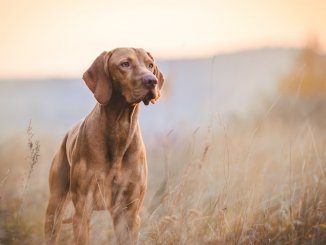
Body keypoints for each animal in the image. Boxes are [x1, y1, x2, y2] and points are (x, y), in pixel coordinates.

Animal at [44, 48, 164, 245]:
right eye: (125, 64)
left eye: (150, 65)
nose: (152, 81)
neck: (119, 129)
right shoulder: (83, 210)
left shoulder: (129, 214)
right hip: (55, 207)